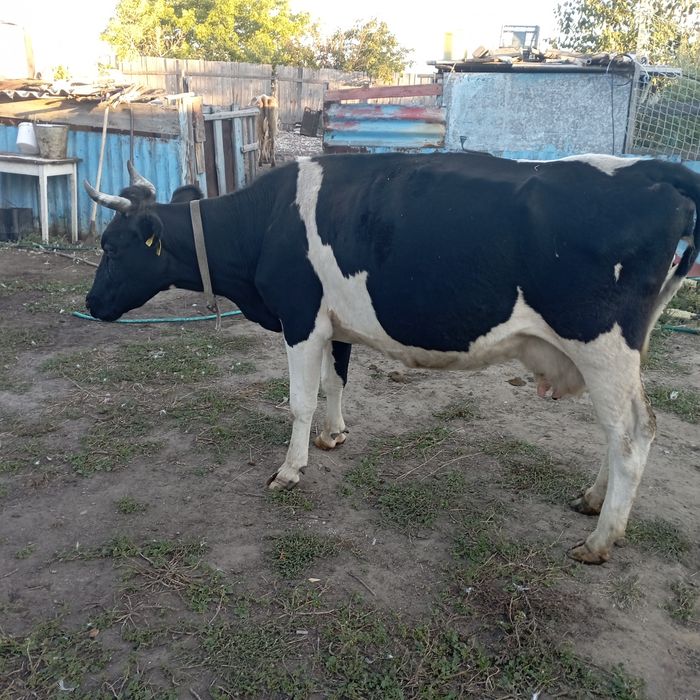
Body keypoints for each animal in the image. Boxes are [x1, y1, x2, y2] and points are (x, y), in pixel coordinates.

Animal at [83, 152, 699, 565]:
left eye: (111, 247)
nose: (91, 304)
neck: (267, 222)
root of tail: (649, 169)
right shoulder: (335, 323)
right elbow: (335, 383)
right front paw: (333, 437)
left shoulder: (300, 317)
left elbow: (299, 400)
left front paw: (290, 469)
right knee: (621, 431)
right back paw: (592, 500)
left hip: (603, 345)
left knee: (631, 435)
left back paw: (599, 540)